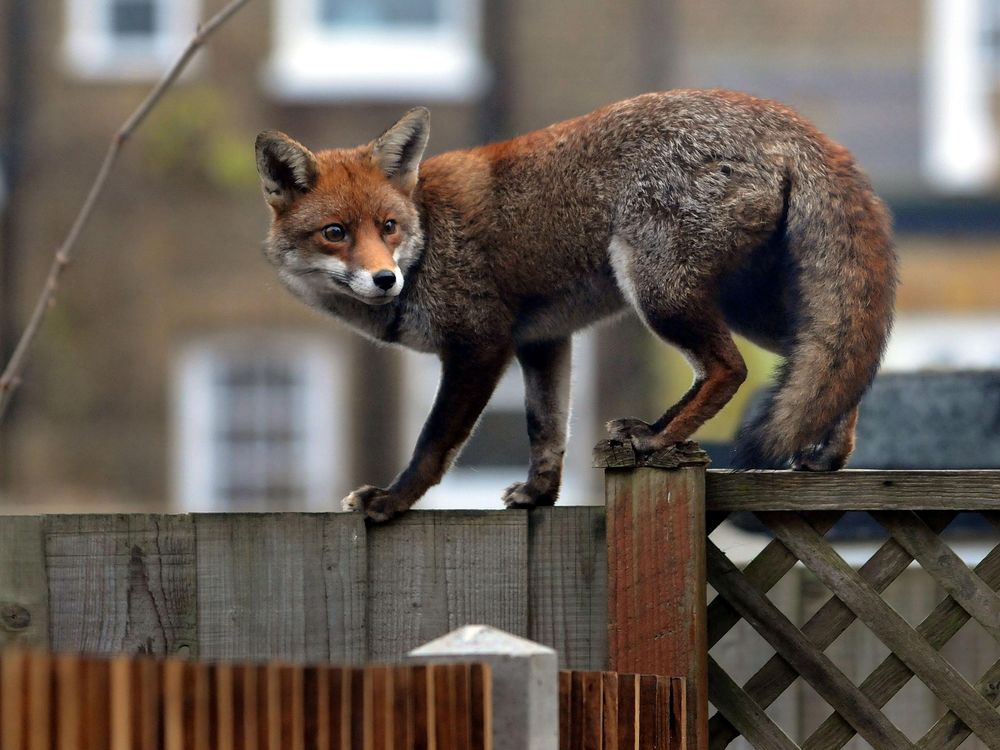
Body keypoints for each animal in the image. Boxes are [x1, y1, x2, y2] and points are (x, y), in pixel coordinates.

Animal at [254, 89, 896, 524]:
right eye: (335, 233)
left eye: (387, 227)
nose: (385, 279)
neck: (430, 237)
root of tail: (780, 115)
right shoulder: (542, 340)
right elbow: (546, 430)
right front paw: (540, 496)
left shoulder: (480, 344)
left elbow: (434, 443)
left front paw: (392, 501)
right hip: (740, 305)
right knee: (835, 362)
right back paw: (827, 456)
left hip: (659, 291)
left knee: (729, 369)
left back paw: (657, 439)